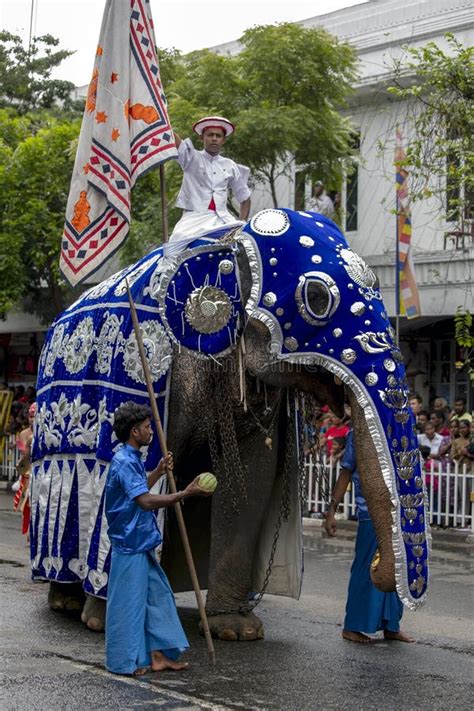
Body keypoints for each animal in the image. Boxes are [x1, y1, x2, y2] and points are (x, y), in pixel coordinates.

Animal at [29, 209, 430, 644]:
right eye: (317, 299)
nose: (375, 563)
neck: (229, 237)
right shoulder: (159, 375)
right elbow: (131, 480)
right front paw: (103, 622)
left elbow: (253, 481)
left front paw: (238, 630)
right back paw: (67, 602)